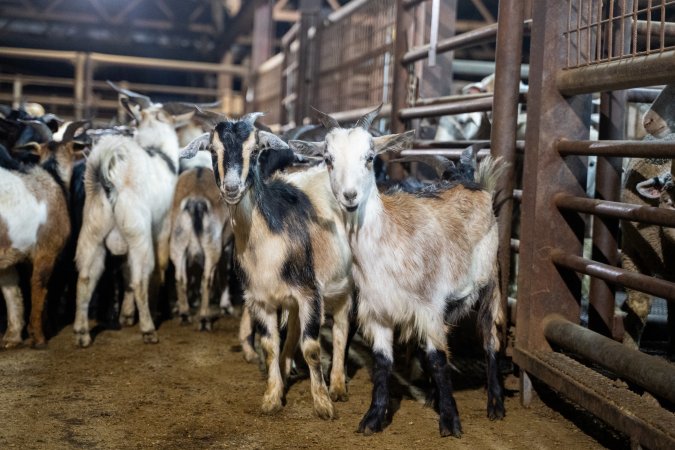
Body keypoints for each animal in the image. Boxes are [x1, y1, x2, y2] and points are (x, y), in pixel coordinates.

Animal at [170, 152, 234, 330]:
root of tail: (195, 201)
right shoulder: (227, 244)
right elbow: (225, 270)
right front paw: (226, 306)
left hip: (178, 241)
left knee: (180, 277)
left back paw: (185, 314)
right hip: (211, 245)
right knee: (207, 279)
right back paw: (204, 319)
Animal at [180, 115, 356, 418]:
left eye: (255, 151)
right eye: (213, 151)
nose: (232, 188)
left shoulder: (310, 293)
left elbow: (311, 347)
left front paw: (322, 404)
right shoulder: (261, 298)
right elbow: (270, 345)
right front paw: (273, 397)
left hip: (345, 288)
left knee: (341, 329)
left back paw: (337, 385)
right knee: (294, 331)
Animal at [290, 105, 508, 436]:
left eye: (369, 156)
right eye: (328, 158)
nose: (350, 196)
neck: (389, 240)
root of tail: (473, 185)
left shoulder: (429, 306)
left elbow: (437, 359)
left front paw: (450, 421)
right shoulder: (378, 311)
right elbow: (383, 363)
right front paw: (373, 418)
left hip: (490, 281)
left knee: (490, 338)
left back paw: (495, 403)